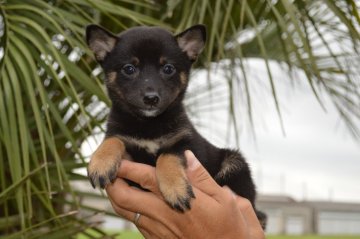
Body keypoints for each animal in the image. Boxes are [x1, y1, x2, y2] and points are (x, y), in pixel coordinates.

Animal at [83, 24, 264, 228]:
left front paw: (176, 189)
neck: (149, 124)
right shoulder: (123, 140)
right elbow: (113, 140)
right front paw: (100, 163)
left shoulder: (186, 142)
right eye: (129, 69)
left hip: (234, 162)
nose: (151, 98)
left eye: (168, 68)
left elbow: (167, 156)